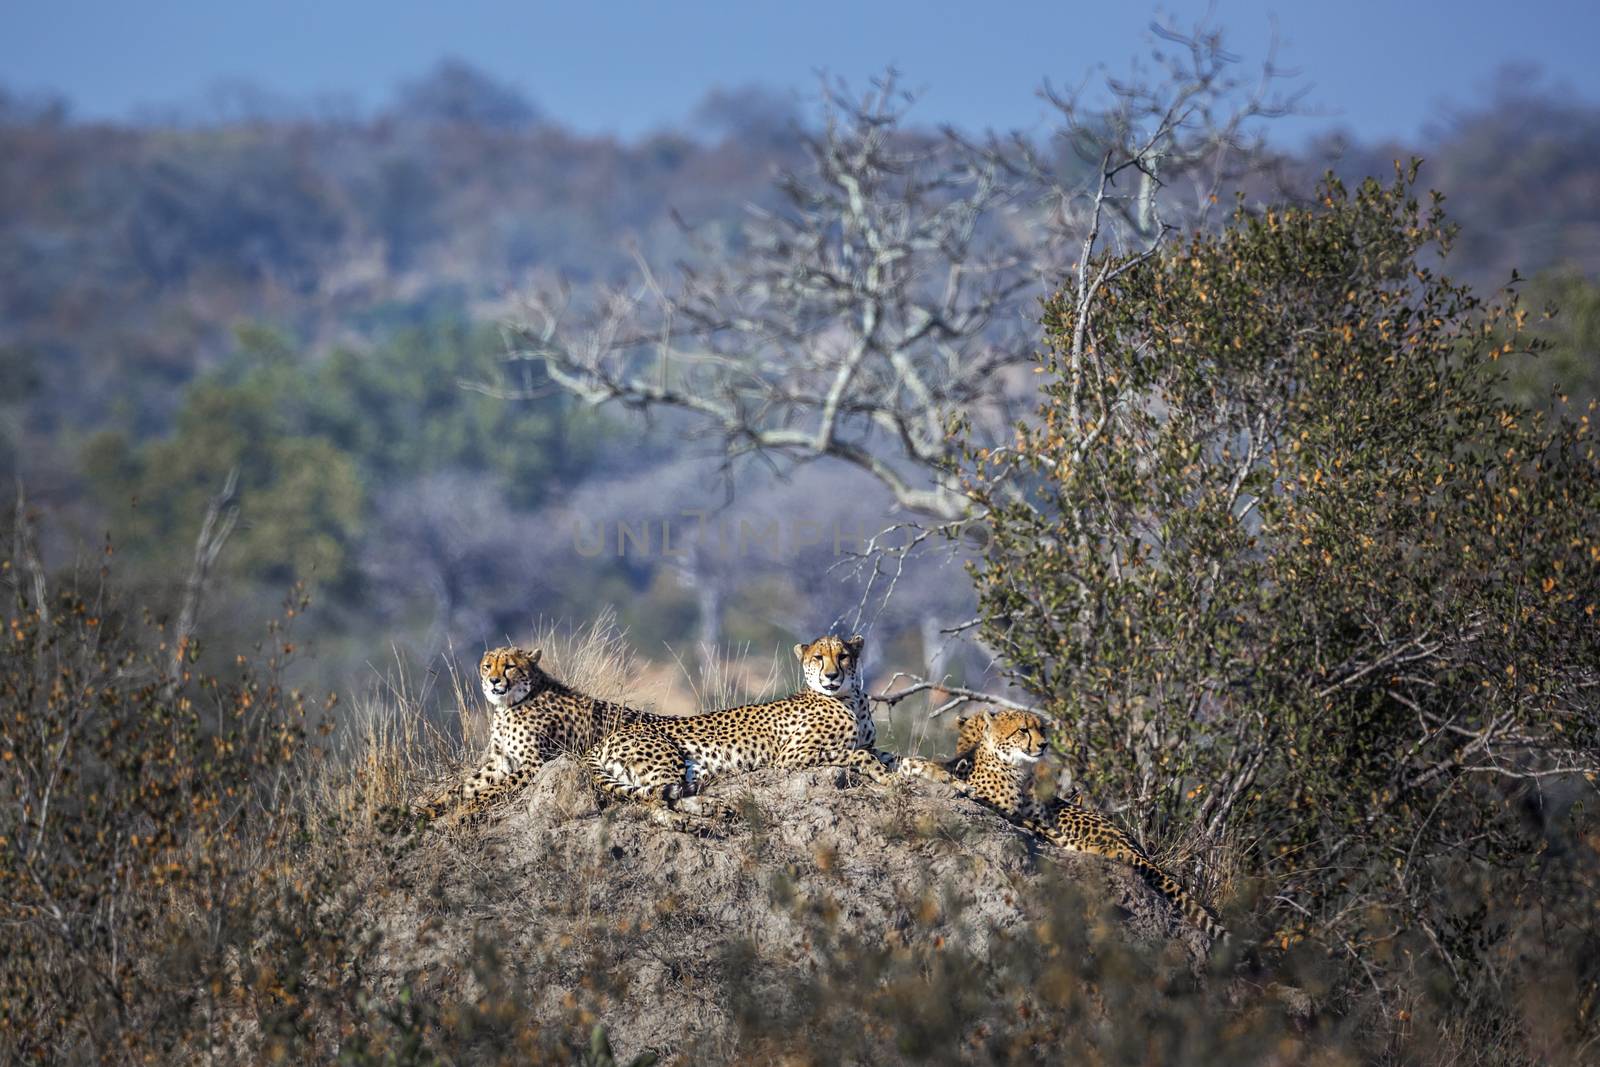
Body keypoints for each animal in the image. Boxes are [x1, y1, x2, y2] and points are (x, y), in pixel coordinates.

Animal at [419, 643, 662, 825]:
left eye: (509, 666)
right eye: (487, 666)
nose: (493, 680)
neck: (509, 705)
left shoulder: (535, 763)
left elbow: (494, 788)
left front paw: (465, 809)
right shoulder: (499, 763)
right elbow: (462, 787)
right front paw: (429, 808)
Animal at [585, 633, 902, 819]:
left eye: (843, 656)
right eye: (818, 658)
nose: (832, 675)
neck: (851, 698)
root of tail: (604, 739)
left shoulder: (869, 743)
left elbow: (894, 756)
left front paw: (910, 771)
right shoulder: (792, 757)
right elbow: (861, 755)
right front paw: (886, 777)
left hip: (690, 769)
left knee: (671, 792)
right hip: (666, 758)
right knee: (657, 798)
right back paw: (704, 812)